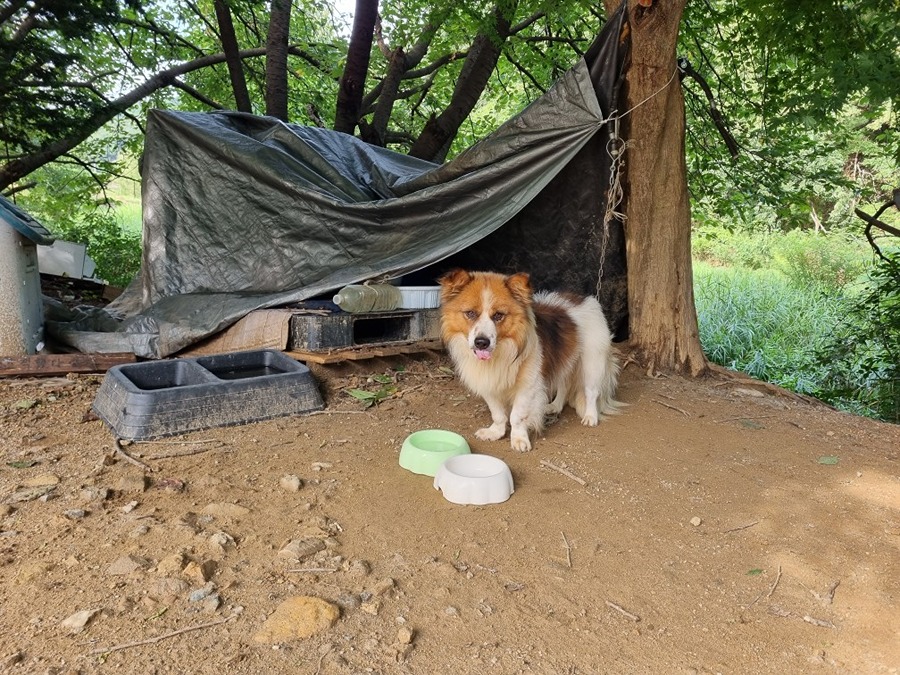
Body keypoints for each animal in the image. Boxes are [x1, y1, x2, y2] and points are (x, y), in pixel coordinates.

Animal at [440, 266, 624, 452]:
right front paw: (496, 432)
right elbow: (498, 414)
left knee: (591, 392)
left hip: (592, 363)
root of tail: (586, 299)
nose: (482, 342)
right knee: (564, 385)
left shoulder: (527, 386)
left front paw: (519, 439)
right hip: (566, 361)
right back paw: (554, 406)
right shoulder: (489, 385)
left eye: (498, 315)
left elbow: (516, 416)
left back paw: (590, 416)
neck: (504, 351)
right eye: (470, 313)